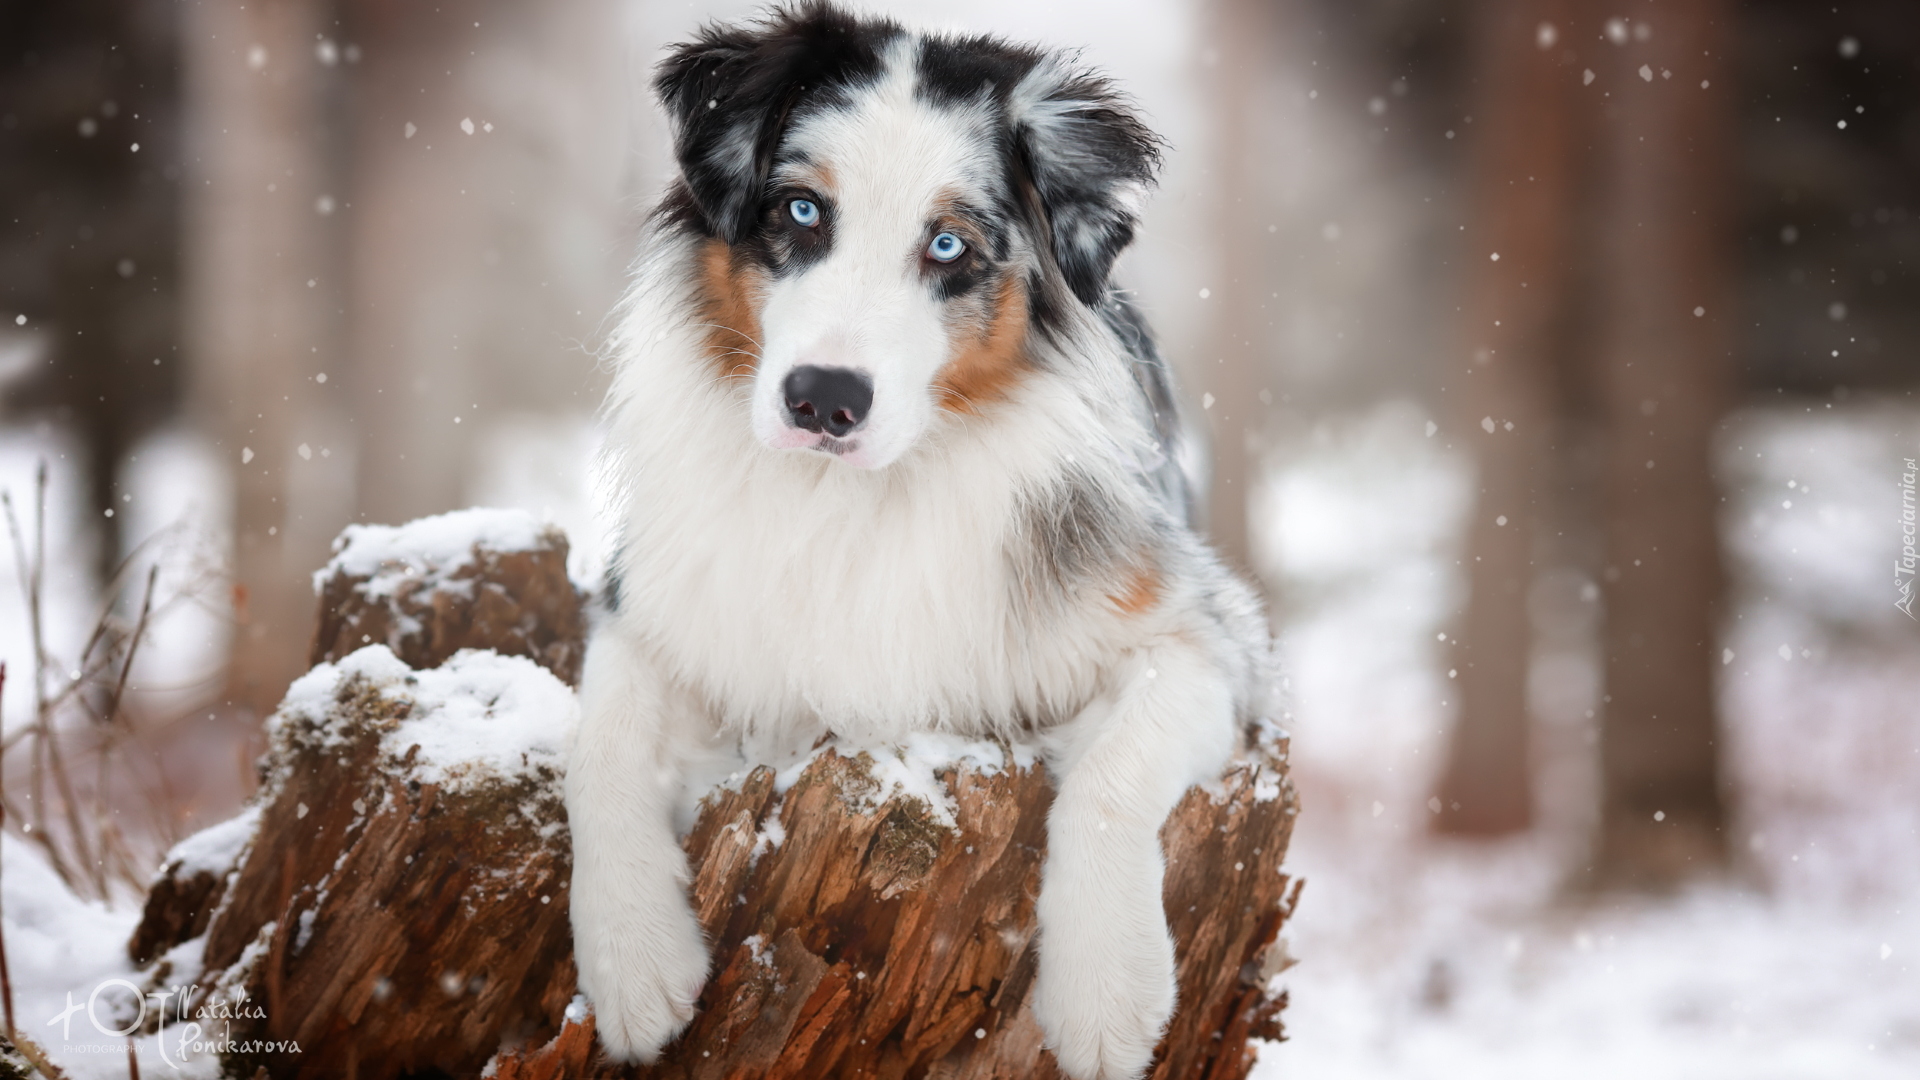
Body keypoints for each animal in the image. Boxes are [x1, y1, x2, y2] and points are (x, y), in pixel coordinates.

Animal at [560, 4, 1274, 1068]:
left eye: (947, 245)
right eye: (801, 213)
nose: (823, 400)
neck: (856, 499)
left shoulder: (1207, 634)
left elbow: (1109, 776)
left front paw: (1108, 996)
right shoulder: (652, 605)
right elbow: (596, 745)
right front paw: (633, 962)